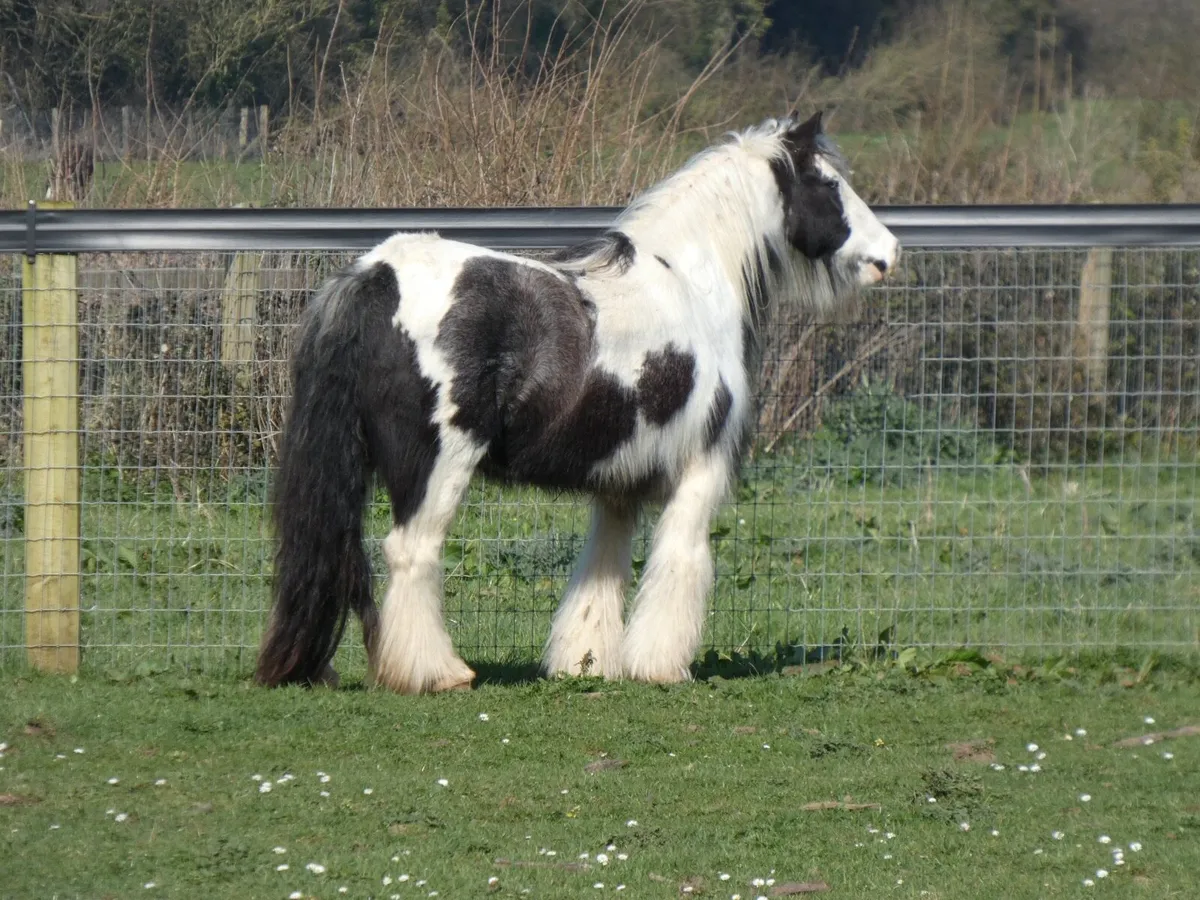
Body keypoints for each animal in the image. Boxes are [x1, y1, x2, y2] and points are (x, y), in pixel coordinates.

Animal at [255, 111, 899, 694]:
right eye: (830, 185)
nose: (888, 253)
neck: (691, 287)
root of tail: (376, 275)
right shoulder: (702, 469)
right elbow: (678, 562)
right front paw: (661, 667)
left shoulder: (617, 487)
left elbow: (600, 575)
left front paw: (585, 664)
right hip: (438, 466)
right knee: (411, 552)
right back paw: (436, 674)